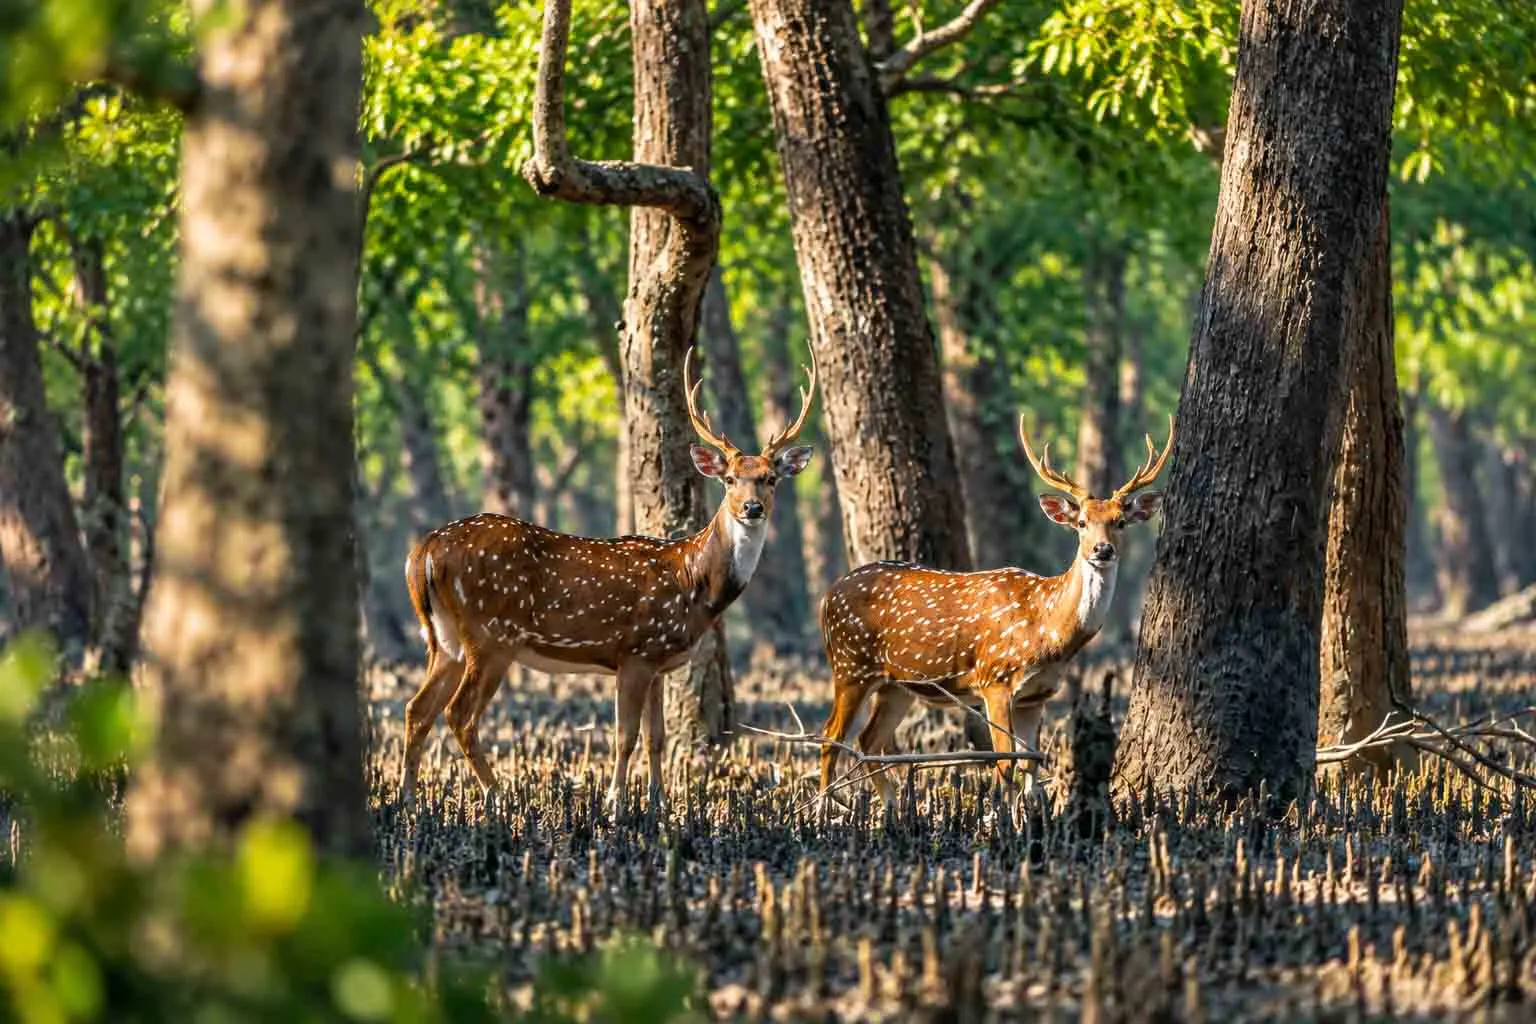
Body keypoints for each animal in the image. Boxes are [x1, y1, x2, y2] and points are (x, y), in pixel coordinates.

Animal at [401, 347, 816, 815]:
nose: (752, 508)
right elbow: (625, 736)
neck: (696, 584)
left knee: (417, 709)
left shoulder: (657, 660)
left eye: (770, 478)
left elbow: (656, 738)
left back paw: (409, 800)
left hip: (444, 638)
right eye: (729, 479)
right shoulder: (634, 651)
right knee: (459, 715)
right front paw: (617, 803)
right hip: (489, 636)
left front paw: (659, 805)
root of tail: (424, 551)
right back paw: (500, 796)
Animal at [815, 414, 1174, 806]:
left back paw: (891, 809)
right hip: (851, 664)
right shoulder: (995, 678)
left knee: (869, 740)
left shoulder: (1038, 694)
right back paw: (825, 810)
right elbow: (1005, 761)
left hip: (896, 683)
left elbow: (1032, 764)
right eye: (1081, 523)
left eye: (1120, 522)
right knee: (830, 737)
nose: (1102, 549)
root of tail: (827, 596)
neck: (1050, 631)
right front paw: (998, 816)